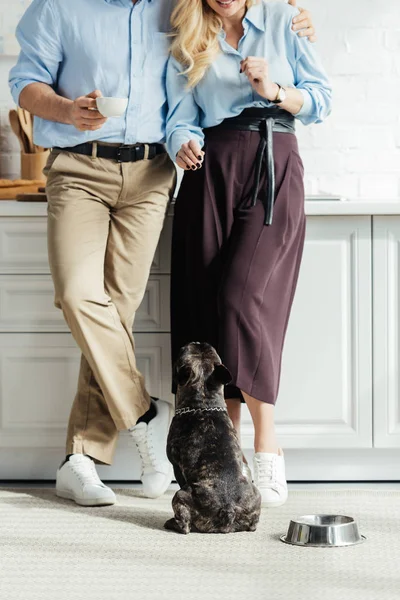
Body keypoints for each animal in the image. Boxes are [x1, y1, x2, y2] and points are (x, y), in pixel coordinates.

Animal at [164, 342, 260, 536]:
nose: (198, 341)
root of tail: (228, 509)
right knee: (254, 522)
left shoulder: (176, 466)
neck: (204, 402)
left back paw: (172, 524)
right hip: (256, 493)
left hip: (180, 496)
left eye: (181, 352)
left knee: (184, 525)